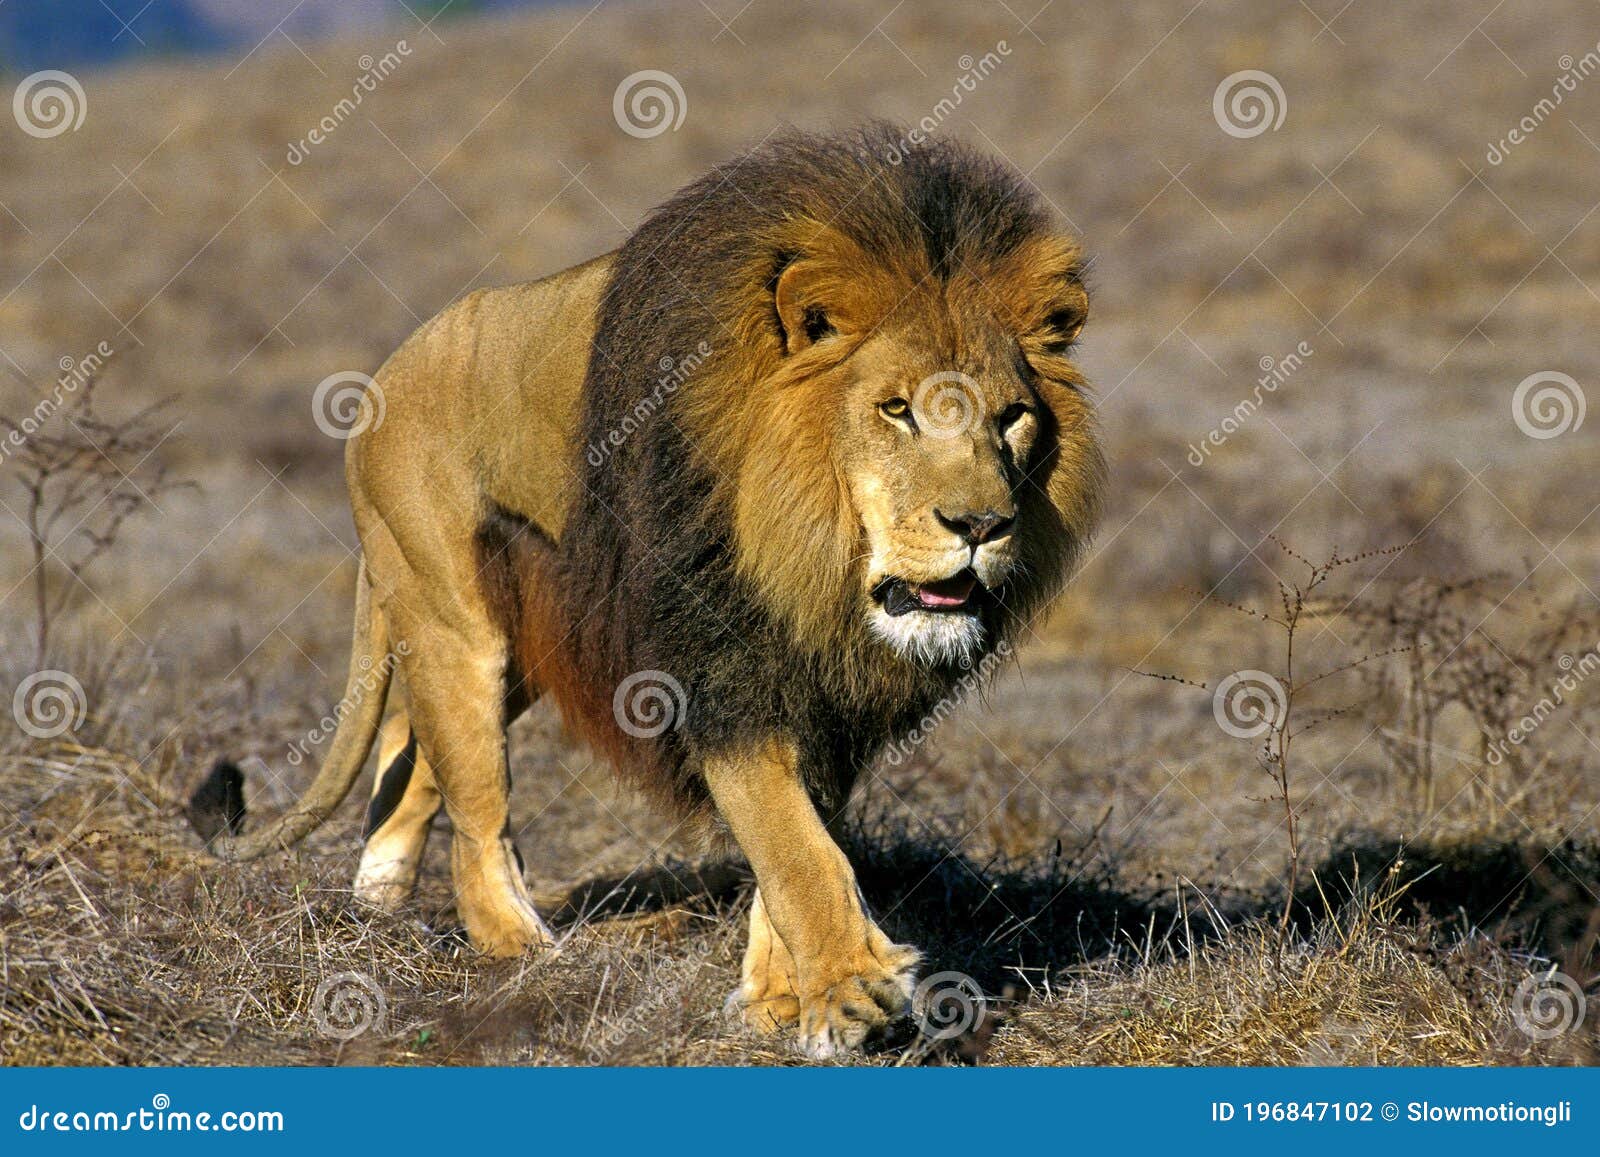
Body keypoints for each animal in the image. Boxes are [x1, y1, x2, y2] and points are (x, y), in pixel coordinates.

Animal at [190, 126, 1100, 1056]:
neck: (810, 558)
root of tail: (379, 381)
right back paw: (523, 950)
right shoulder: (721, 664)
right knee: (476, 809)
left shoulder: (821, 693)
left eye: (1013, 416)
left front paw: (776, 998)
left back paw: (373, 910)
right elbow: (793, 843)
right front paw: (850, 991)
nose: (982, 524)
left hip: (518, 645)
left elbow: (795, 842)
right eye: (896, 409)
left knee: (413, 750)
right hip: (453, 619)